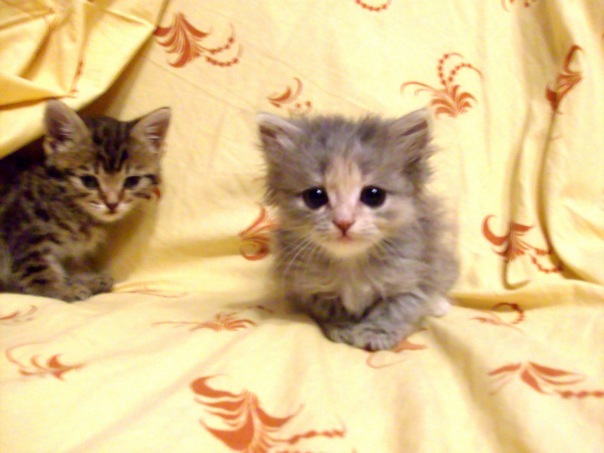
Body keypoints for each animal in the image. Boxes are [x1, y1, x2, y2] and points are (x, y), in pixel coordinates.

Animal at [0, 100, 170, 302]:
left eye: (132, 181)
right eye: (88, 181)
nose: (112, 203)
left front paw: (85, 279)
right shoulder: (25, 236)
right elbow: (39, 271)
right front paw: (61, 290)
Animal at [257, 108, 458, 351]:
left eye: (373, 195)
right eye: (315, 196)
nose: (343, 222)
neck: (350, 263)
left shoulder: (413, 274)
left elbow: (397, 309)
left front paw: (376, 333)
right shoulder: (309, 287)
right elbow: (332, 308)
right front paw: (343, 328)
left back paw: (438, 304)